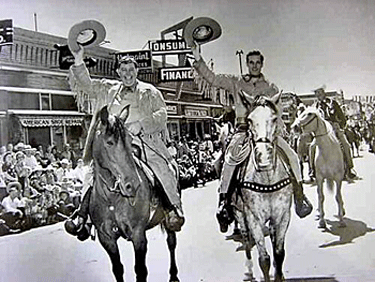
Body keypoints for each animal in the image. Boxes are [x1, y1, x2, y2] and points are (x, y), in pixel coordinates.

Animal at [87, 106, 181, 282]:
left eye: (130, 141)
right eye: (109, 142)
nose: (133, 185)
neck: (112, 199)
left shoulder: (138, 235)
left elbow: (140, 270)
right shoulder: (107, 239)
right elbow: (118, 269)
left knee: (171, 242)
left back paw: (173, 275)